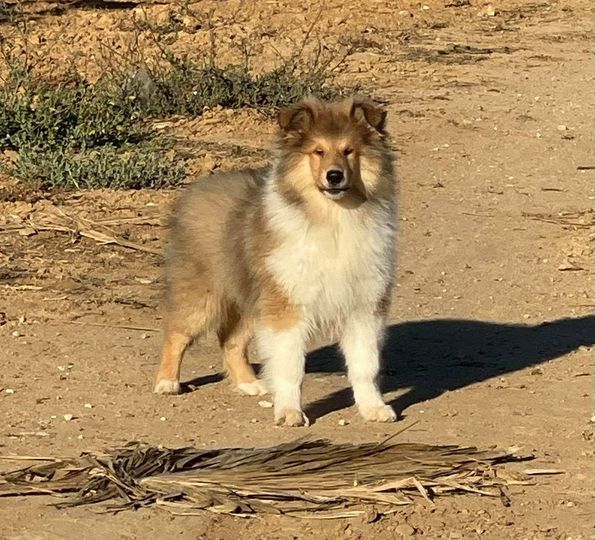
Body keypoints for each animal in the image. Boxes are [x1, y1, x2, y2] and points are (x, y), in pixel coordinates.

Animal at [154, 96, 398, 426]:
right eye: (318, 151)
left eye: (349, 150)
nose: (334, 176)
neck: (332, 218)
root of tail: (196, 188)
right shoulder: (287, 306)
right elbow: (290, 365)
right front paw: (290, 413)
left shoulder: (363, 305)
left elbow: (365, 365)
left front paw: (373, 408)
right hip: (201, 294)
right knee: (176, 333)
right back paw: (167, 382)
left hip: (251, 299)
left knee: (230, 341)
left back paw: (250, 384)